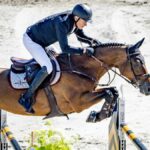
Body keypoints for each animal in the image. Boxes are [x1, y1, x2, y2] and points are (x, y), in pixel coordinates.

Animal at [0, 38, 149, 122]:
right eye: (137, 61)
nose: (147, 88)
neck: (80, 68)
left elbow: (113, 91)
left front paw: (98, 116)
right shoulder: (78, 103)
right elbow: (108, 93)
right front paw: (96, 116)